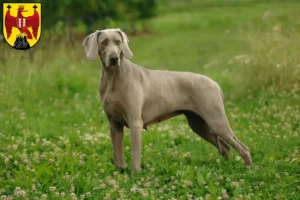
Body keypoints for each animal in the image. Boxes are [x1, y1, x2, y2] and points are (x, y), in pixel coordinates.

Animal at [82, 28, 253, 173]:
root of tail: (215, 83)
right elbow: (117, 153)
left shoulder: (135, 122)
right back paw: (226, 167)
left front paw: (135, 175)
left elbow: (135, 155)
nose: (114, 58)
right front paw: (119, 174)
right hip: (199, 124)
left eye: (118, 42)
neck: (113, 77)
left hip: (216, 120)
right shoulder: (114, 124)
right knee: (225, 147)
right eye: (104, 42)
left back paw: (249, 169)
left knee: (242, 147)